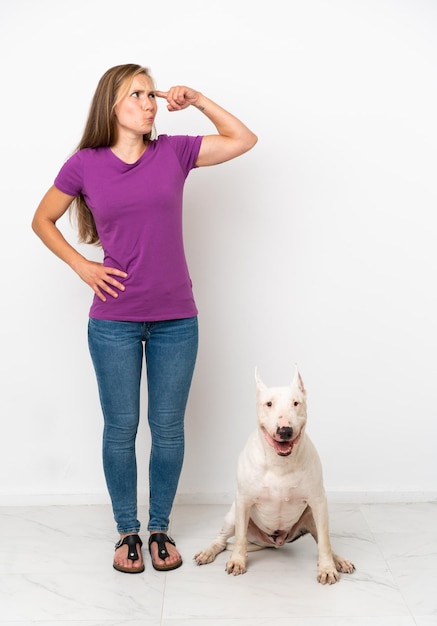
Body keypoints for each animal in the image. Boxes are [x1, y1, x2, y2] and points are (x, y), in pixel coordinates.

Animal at [194, 366, 354, 580]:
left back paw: (339, 560)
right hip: (232, 516)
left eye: (296, 403)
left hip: (310, 517)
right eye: (269, 404)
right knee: (223, 539)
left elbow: (325, 541)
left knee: (322, 539)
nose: (285, 430)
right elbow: (240, 538)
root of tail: (271, 542)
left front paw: (327, 568)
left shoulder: (318, 501)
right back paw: (208, 552)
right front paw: (237, 561)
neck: (280, 462)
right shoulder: (243, 500)